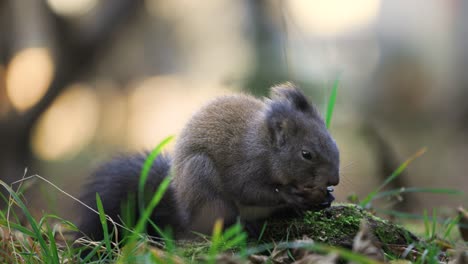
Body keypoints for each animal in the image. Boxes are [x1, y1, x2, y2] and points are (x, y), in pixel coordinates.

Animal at [77, 83, 340, 240]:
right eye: (306, 154)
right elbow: (249, 190)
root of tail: (183, 215)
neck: (268, 148)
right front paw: (290, 195)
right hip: (202, 178)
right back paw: (244, 224)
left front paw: (326, 197)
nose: (335, 180)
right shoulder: (247, 164)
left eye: (333, 141)